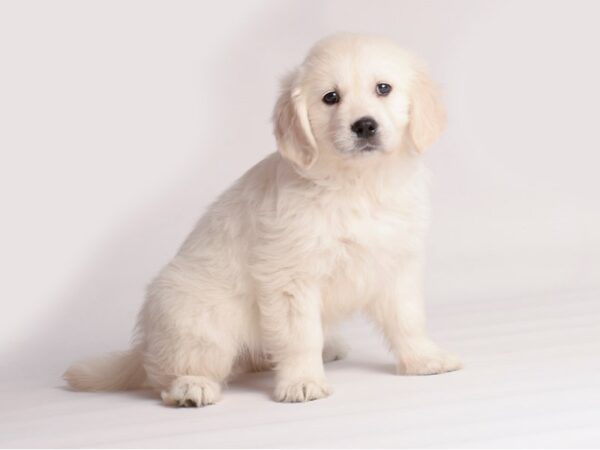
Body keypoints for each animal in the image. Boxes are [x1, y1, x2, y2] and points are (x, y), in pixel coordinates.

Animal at [64, 33, 460, 406]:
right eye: (330, 98)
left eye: (383, 88)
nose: (364, 126)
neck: (358, 184)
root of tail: (147, 342)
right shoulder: (290, 276)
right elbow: (300, 336)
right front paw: (302, 381)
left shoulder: (396, 262)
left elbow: (408, 320)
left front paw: (424, 360)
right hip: (197, 319)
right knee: (168, 373)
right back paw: (191, 387)